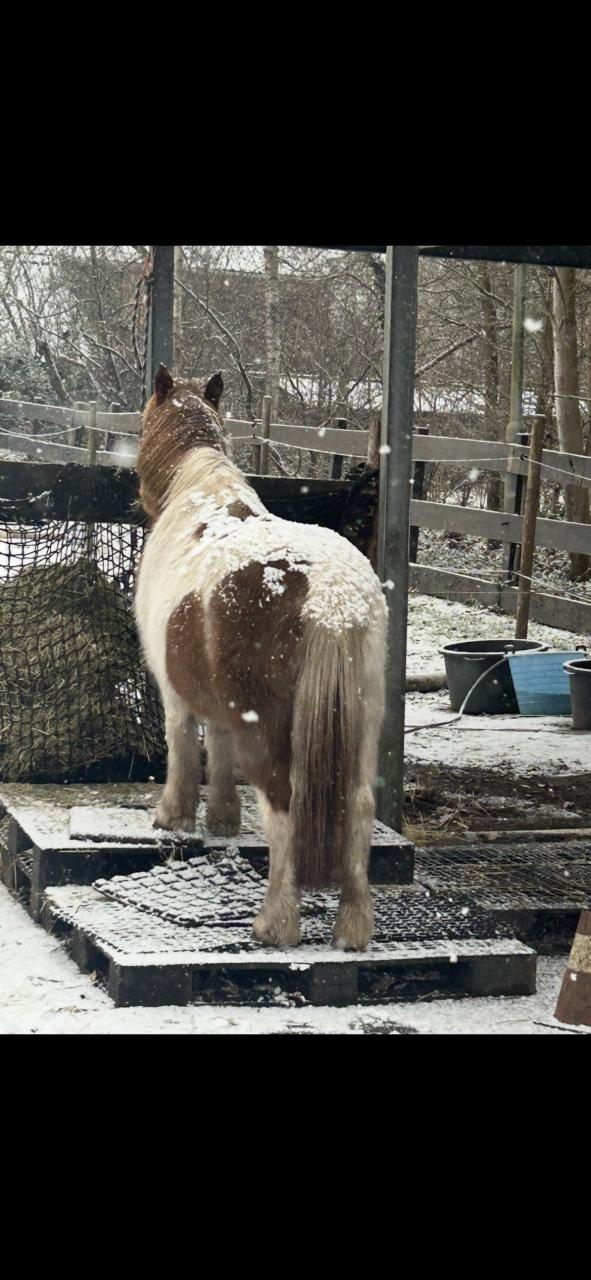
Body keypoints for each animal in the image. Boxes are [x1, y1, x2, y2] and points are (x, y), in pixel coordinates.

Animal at [135, 365, 387, 950]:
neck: (199, 496)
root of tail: (332, 595)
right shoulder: (219, 703)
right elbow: (220, 748)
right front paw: (223, 819)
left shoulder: (174, 692)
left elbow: (184, 748)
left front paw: (173, 815)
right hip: (362, 731)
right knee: (359, 810)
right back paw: (352, 929)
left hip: (272, 735)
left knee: (284, 808)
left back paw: (276, 924)